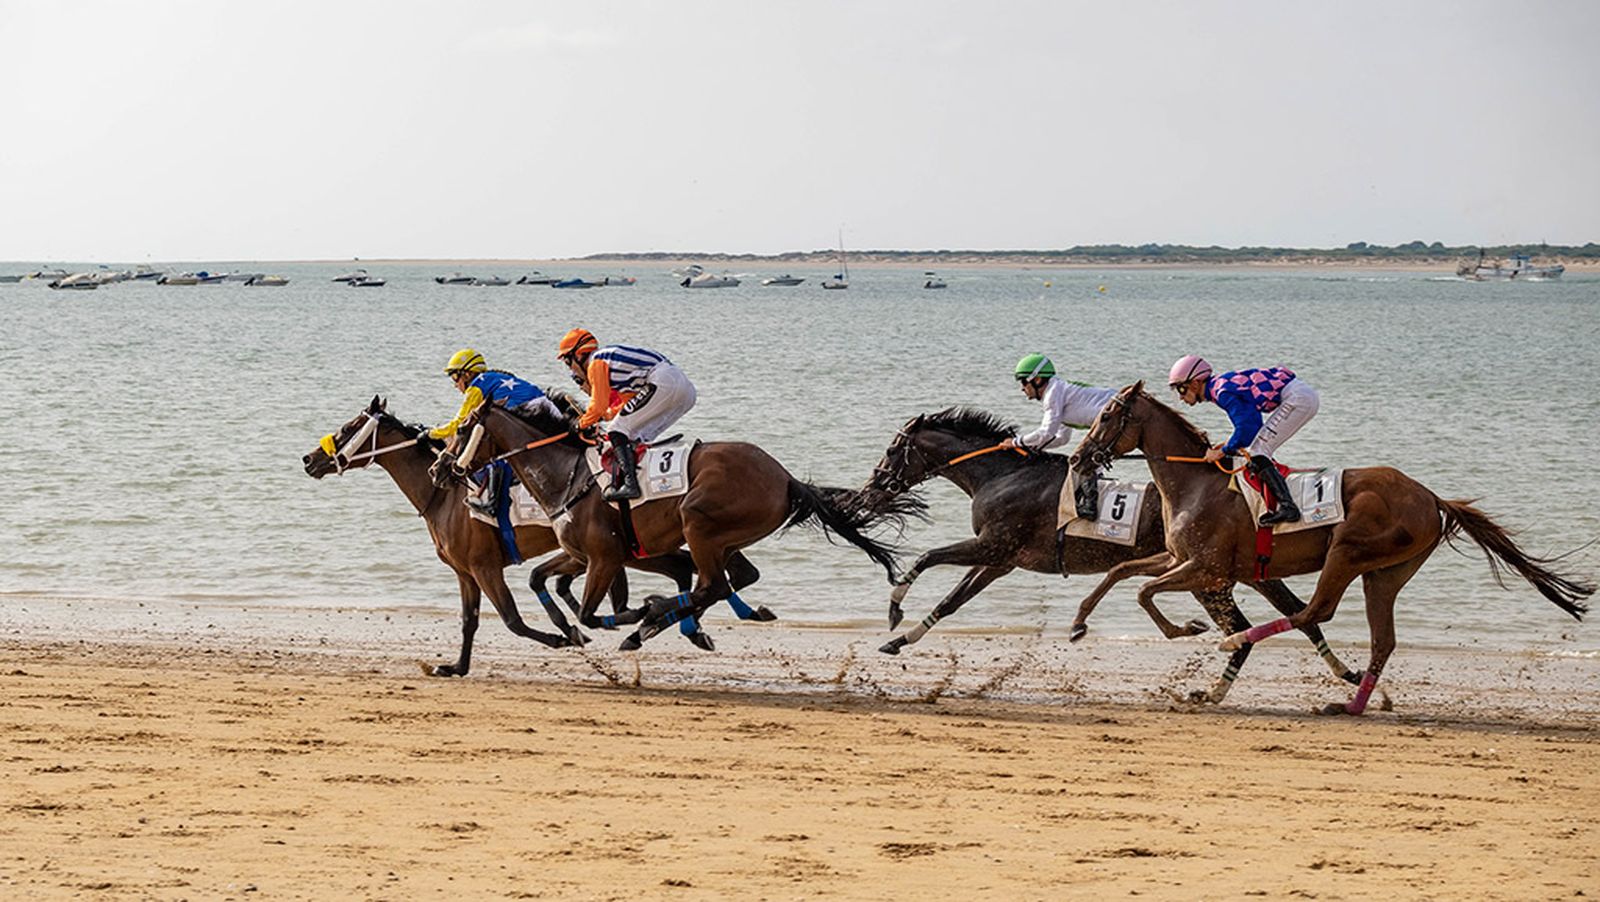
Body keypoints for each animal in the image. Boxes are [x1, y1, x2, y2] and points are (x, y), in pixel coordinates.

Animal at [303, 397, 701, 673]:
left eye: (349, 427)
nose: (309, 459)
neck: (444, 496)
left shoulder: (485, 566)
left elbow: (512, 620)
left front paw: (563, 637)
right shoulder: (465, 572)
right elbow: (469, 622)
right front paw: (455, 667)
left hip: (631, 548)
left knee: (682, 568)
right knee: (682, 568)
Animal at [431, 402, 925, 648]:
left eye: (462, 430)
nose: (439, 469)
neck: (565, 473)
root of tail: (786, 478)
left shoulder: (604, 556)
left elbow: (591, 612)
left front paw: (636, 614)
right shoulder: (580, 554)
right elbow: (545, 581)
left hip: (699, 522)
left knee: (712, 584)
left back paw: (651, 622)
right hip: (725, 536)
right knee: (730, 578)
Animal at [854, 408, 1358, 703]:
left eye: (893, 449)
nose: (870, 490)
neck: (1000, 473)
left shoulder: (994, 546)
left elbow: (927, 557)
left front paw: (895, 612)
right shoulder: (999, 560)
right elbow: (951, 601)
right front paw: (900, 640)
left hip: (1209, 575)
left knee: (1253, 624)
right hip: (1242, 572)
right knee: (1294, 614)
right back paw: (1347, 672)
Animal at [1068, 382, 1594, 714]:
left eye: (1107, 415)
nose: (1077, 457)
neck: (1198, 483)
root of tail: (1431, 496)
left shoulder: (1207, 568)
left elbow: (1144, 592)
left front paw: (1188, 629)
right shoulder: (1180, 558)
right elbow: (1120, 574)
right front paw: (1078, 624)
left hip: (1347, 551)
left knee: (1314, 612)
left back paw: (1239, 639)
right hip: (1384, 573)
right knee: (1381, 639)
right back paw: (1352, 703)